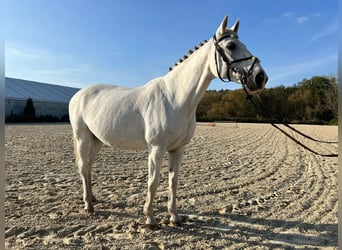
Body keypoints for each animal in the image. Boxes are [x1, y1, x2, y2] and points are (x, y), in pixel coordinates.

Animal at [69, 16, 268, 230]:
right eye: (231, 46)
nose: (260, 77)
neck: (174, 97)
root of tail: (78, 95)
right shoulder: (156, 149)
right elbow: (153, 182)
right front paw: (150, 219)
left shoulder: (178, 149)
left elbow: (173, 182)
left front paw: (174, 217)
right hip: (82, 137)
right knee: (83, 166)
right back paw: (88, 205)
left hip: (97, 140)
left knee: (88, 166)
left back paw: (93, 198)